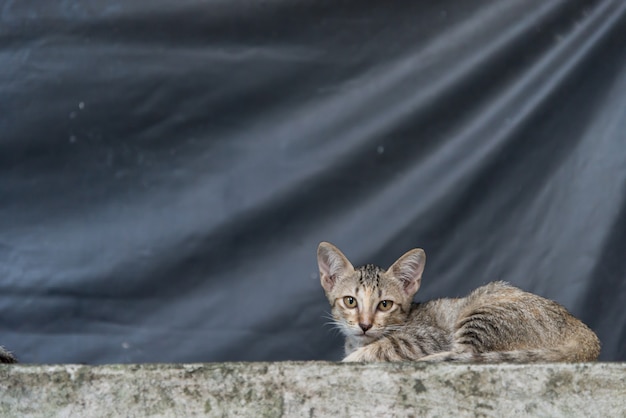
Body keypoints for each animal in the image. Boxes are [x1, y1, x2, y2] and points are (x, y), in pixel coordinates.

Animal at [316, 242, 600, 362]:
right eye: (350, 301)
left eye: (384, 304)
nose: (364, 325)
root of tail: (584, 332)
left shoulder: (427, 337)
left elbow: (386, 346)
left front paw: (354, 357)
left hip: (483, 311)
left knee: (468, 354)